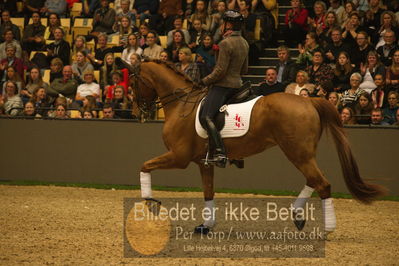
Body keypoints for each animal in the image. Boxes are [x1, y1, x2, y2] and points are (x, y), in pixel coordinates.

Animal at [132, 59, 388, 233]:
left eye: (134, 82)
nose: (138, 110)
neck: (182, 104)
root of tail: (309, 101)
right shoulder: (203, 162)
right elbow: (208, 191)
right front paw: (206, 225)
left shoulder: (179, 157)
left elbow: (144, 165)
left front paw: (150, 202)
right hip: (303, 154)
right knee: (314, 180)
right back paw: (297, 215)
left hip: (297, 153)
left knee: (322, 183)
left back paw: (327, 228)